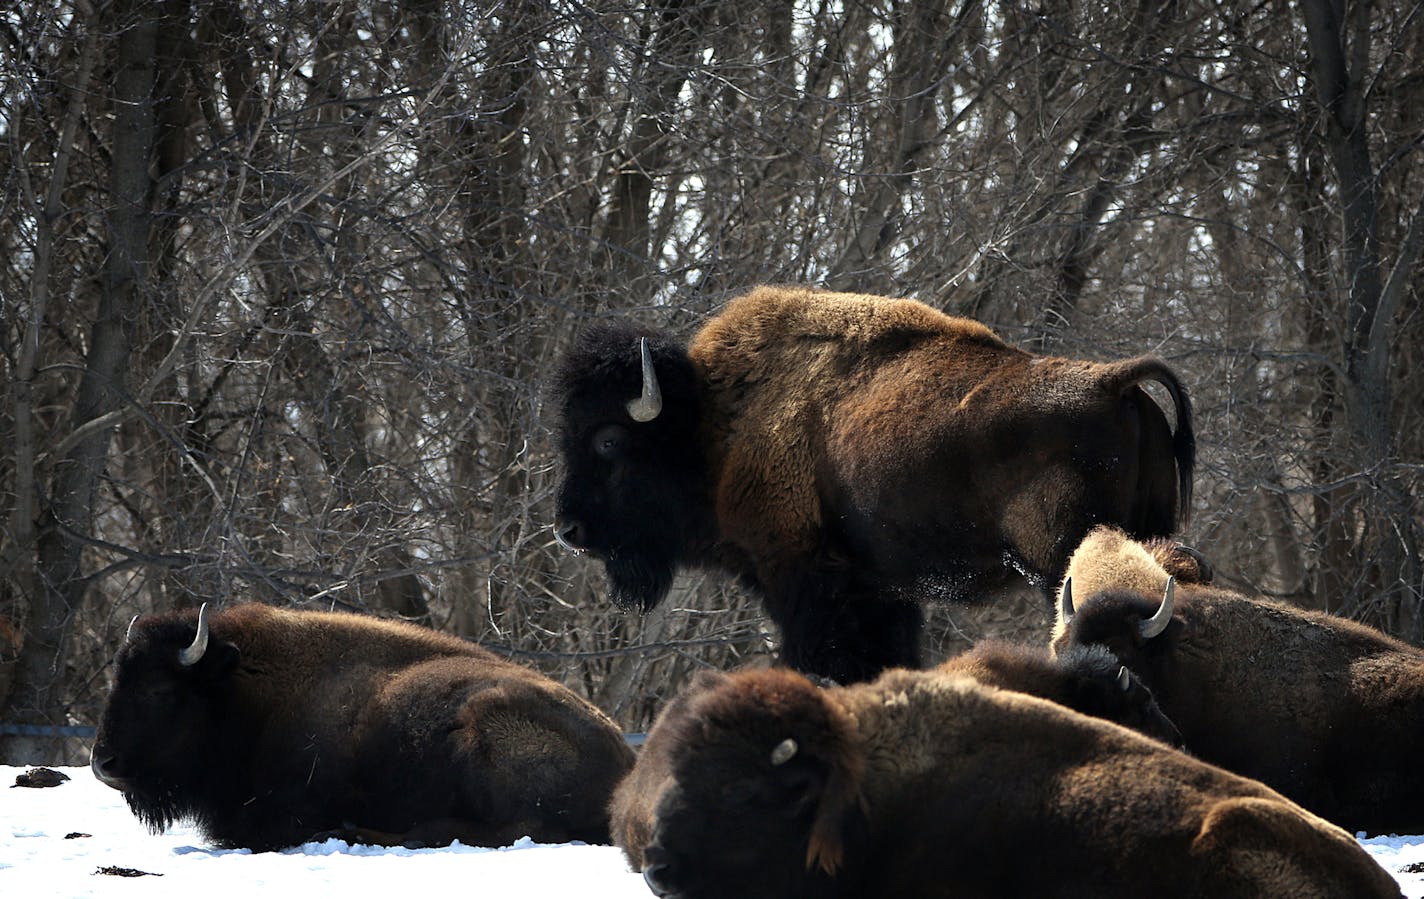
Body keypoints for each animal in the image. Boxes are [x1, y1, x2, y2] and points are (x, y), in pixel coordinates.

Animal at [89, 604, 635, 849]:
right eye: (116, 679)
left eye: (160, 691)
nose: (103, 763)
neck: (242, 686)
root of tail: (624, 764)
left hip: (483, 724)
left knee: (510, 828)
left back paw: (360, 831)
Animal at [549, 287, 1196, 681]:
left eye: (608, 440)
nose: (569, 529)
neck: (711, 422)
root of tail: (1114, 382)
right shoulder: (882, 590)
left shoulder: (804, 578)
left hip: (1063, 561)